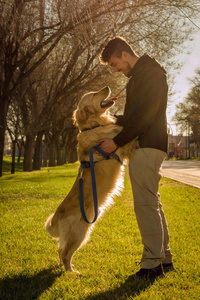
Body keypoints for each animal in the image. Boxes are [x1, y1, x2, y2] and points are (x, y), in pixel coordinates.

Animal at [44, 86, 137, 272]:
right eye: (94, 94)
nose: (107, 87)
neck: (92, 126)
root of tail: (57, 216)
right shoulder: (119, 143)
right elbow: (130, 134)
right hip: (80, 233)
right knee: (65, 253)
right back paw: (72, 273)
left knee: (60, 250)